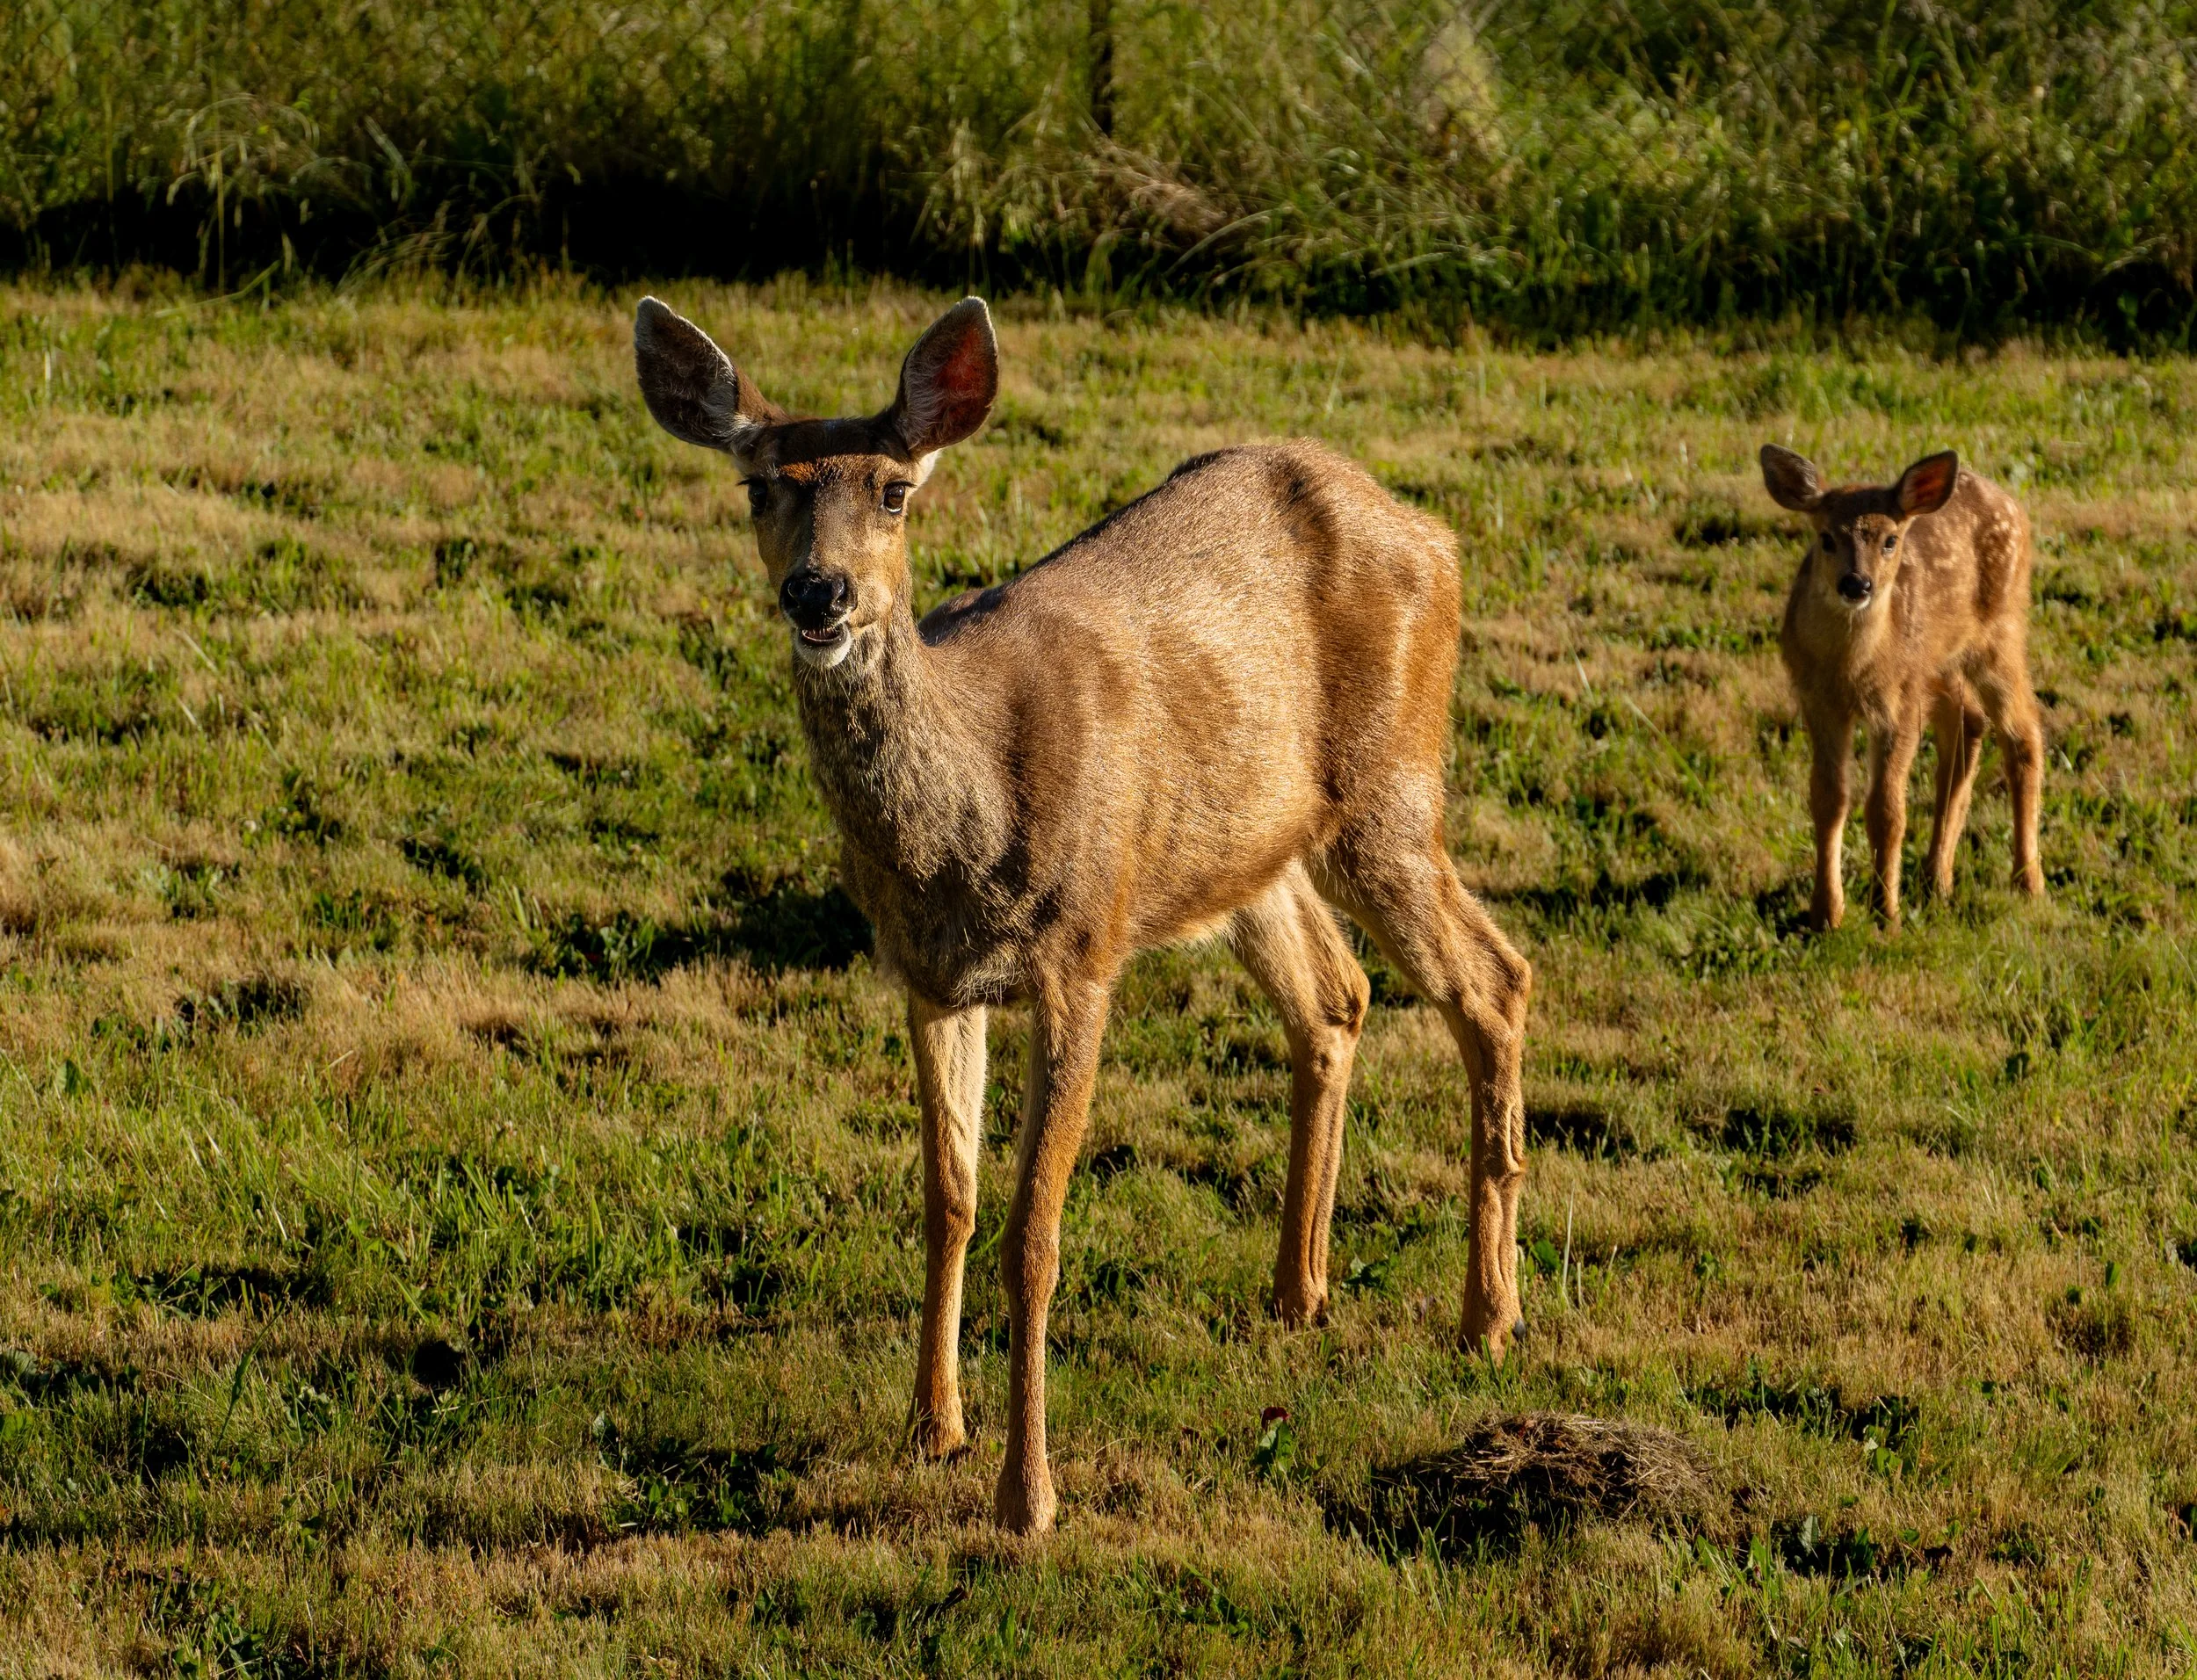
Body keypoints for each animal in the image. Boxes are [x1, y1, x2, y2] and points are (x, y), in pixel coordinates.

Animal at [633, 294, 1533, 1535]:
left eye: (895, 490)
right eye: (758, 485)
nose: (819, 593)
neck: (963, 827)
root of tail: (1433, 534)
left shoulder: (1081, 953)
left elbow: (1034, 1233)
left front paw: (1028, 1496)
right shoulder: (926, 975)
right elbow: (949, 1200)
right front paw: (932, 1428)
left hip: (1390, 787)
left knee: (1493, 978)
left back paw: (1488, 1319)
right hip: (1238, 850)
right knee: (1336, 994)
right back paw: (1297, 1290)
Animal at [1759, 444, 2046, 932]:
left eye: (1890, 540)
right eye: (1826, 538)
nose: (1856, 583)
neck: (1853, 670)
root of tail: (2013, 504)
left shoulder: (1897, 703)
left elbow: (1886, 809)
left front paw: (1884, 913)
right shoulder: (1818, 701)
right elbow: (1828, 798)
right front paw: (1826, 913)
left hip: (2000, 632)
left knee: (2023, 733)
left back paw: (2028, 883)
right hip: (1939, 664)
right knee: (1969, 724)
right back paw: (1937, 879)